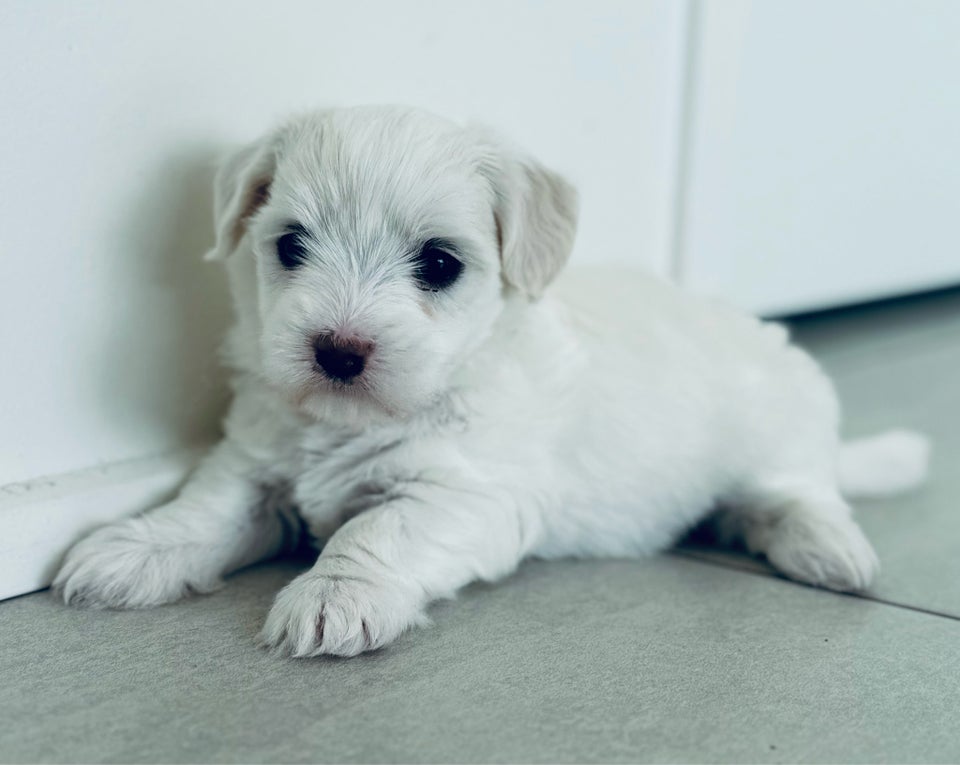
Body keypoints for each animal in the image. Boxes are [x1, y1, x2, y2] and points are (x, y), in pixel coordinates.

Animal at [54, 106, 928, 656]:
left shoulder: (467, 493)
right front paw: (133, 548)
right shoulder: (253, 460)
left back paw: (828, 548)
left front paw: (333, 595)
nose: (337, 350)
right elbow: (205, 507)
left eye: (439, 264)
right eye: (290, 246)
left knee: (801, 492)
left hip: (780, 427)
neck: (358, 417)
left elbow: (372, 531)